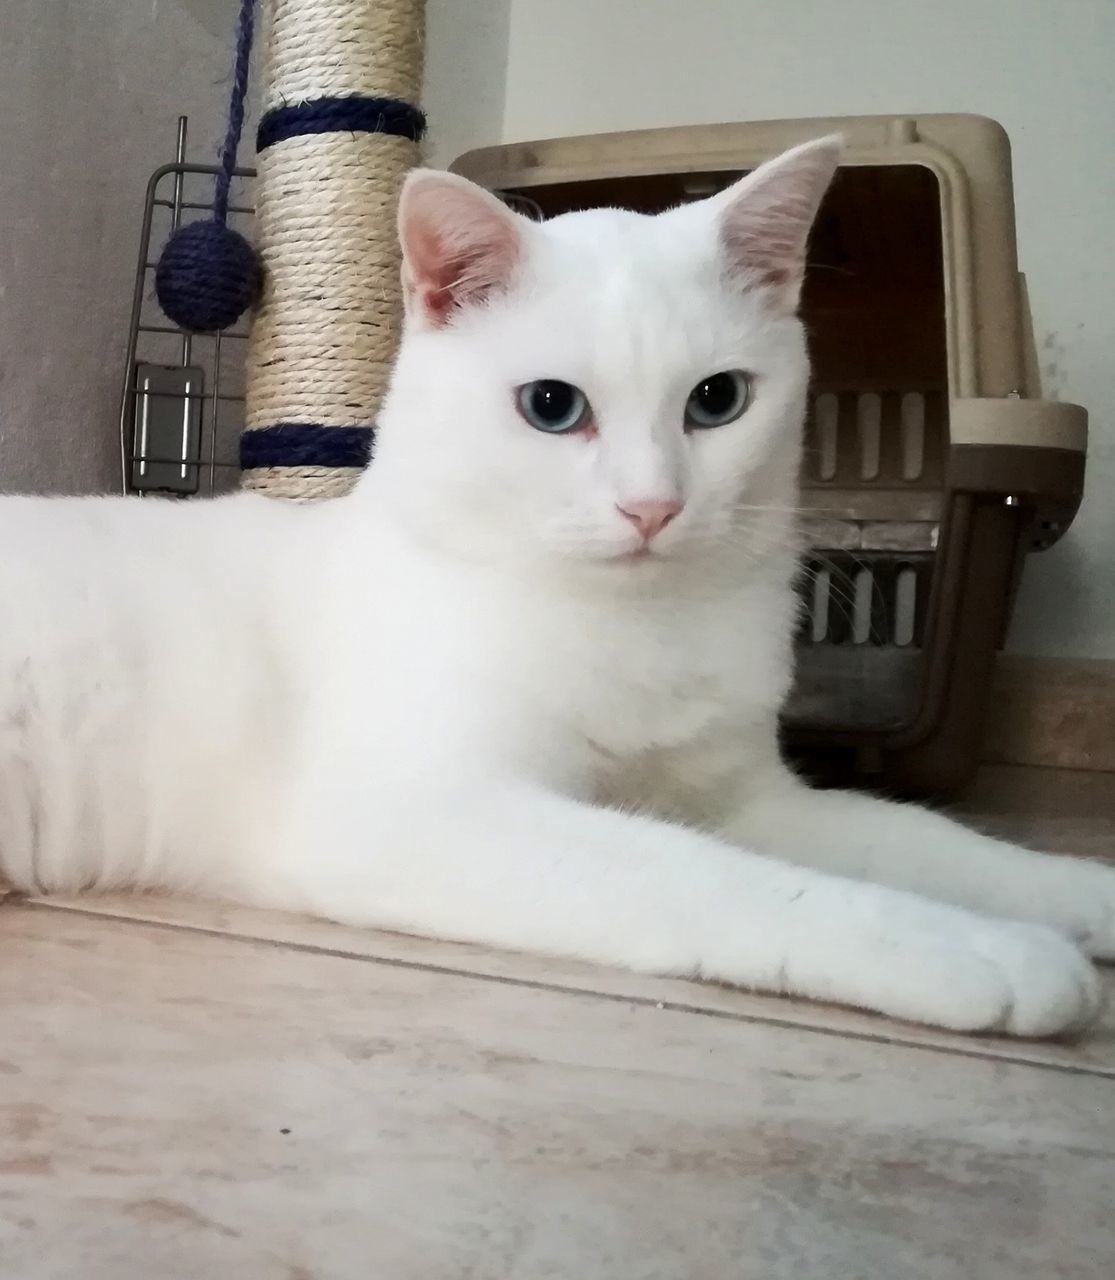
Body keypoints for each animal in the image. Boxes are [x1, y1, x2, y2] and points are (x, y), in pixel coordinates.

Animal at [0, 137, 1111, 1039]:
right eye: (550, 406)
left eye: (717, 400)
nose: (652, 506)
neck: (639, 626)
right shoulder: (423, 811)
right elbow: (714, 879)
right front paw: (983, 950)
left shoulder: (745, 797)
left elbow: (923, 834)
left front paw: (1076, 893)